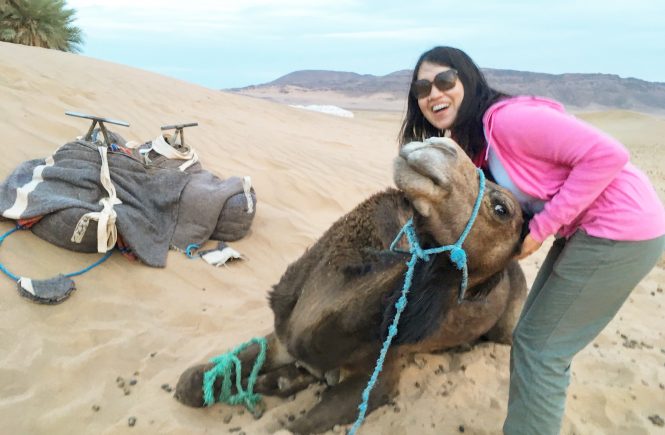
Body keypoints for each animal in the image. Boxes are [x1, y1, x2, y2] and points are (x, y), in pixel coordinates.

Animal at [174, 137, 528, 434]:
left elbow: (295, 427)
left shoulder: (377, 374)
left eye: (501, 208)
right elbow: (191, 382)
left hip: (507, 326)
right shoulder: (283, 337)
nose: (441, 145)